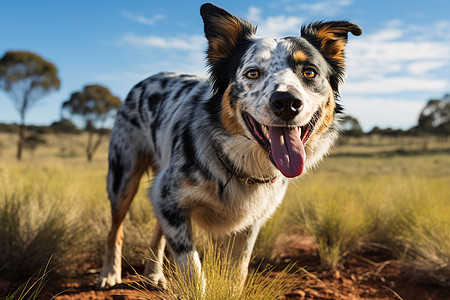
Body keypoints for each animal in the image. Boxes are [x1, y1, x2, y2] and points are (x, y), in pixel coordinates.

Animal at [97, 1, 362, 288]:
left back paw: (154, 273)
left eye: (310, 72)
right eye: (252, 73)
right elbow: (192, 268)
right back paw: (110, 273)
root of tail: (149, 78)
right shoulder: (171, 201)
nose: (287, 102)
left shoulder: (249, 222)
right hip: (123, 179)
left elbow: (238, 268)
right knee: (115, 231)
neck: (237, 161)